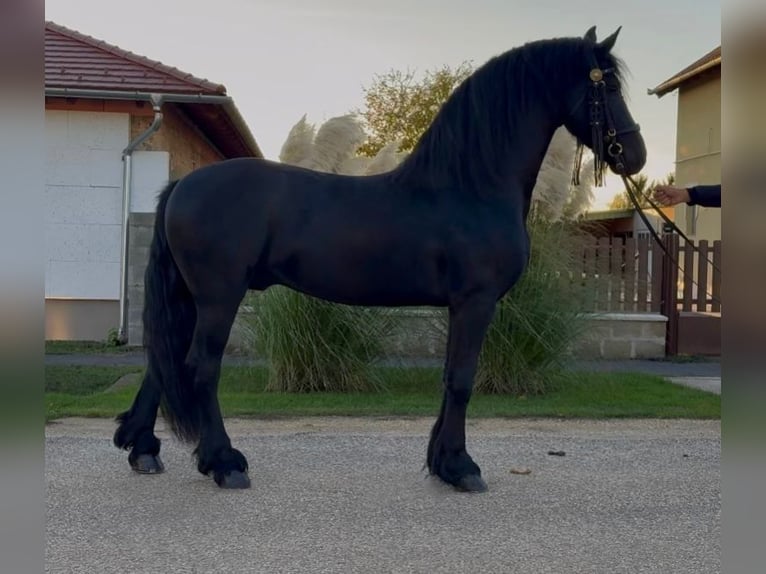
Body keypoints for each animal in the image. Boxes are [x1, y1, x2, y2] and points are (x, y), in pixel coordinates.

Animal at [113, 26, 646, 492]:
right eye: (608, 84)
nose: (635, 154)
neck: (469, 186)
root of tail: (183, 184)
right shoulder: (476, 302)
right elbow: (462, 381)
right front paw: (462, 468)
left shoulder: (460, 307)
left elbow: (450, 377)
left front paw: (441, 463)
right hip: (219, 296)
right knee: (200, 367)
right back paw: (224, 463)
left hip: (192, 296)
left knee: (164, 363)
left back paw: (143, 450)